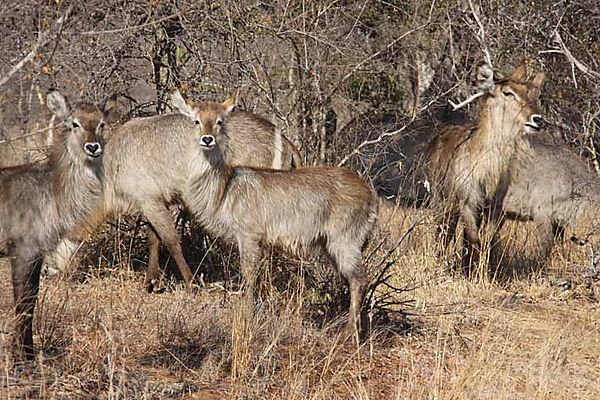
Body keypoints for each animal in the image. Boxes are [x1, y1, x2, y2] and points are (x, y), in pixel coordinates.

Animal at [0, 90, 111, 362]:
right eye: (75, 124)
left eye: (101, 124)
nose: (93, 147)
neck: (52, 190)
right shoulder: (23, 251)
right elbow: (24, 303)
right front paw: (22, 358)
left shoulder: (38, 254)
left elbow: (32, 298)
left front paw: (28, 353)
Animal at [176, 94, 378, 334]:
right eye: (196, 120)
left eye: (219, 121)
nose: (207, 139)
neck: (225, 187)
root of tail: (370, 194)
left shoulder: (249, 236)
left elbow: (249, 275)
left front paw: (247, 316)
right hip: (332, 246)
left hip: (345, 242)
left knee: (360, 280)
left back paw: (349, 332)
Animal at [424, 60, 548, 272]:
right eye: (508, 92)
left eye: (535, 95)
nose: (537, 119)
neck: (488, 170)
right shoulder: (468, 202)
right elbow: (475, 240)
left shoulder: (496, 208)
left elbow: (486, 242)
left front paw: (481, 272)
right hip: (441, 201)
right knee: (444, 233)